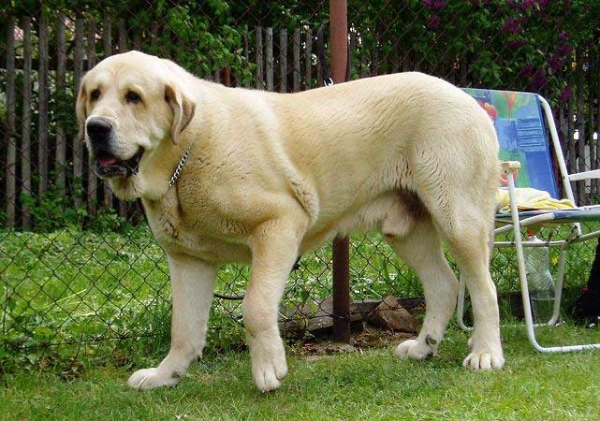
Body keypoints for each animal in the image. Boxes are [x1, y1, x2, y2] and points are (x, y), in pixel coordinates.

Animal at [77, 50, 504, 392]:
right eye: (95, 94)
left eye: (133, 97)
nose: (95, 127)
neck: (188, 151)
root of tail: (467, 99)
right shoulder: (188, 261)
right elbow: (183, 329)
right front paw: (165, 376)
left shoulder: (278, 225)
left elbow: (255, 306)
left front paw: (269, 369)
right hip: (407, 230)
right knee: (445, 286)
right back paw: (422, 348)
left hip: (458, 217)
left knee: (484, 288)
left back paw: (486, 353)